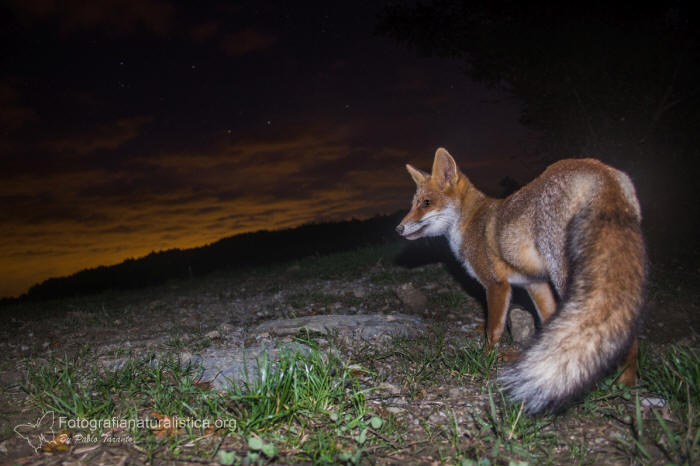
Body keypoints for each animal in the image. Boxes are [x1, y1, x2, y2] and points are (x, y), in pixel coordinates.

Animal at [396, 147, 648, 414]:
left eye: (426, 203)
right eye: (412, 204)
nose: (398, 229)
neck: (470, 222)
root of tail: (597, 169)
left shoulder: (496, 284)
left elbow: (493, 330)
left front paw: (486, 358)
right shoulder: (534, 283)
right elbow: (548, 322)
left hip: (568, 275)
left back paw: (619, 382)